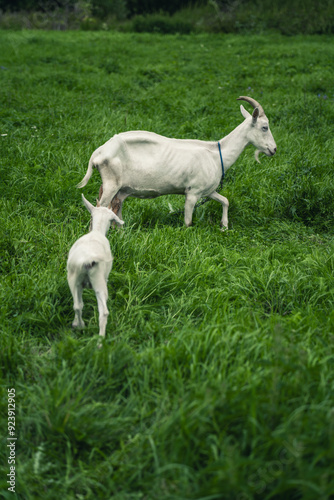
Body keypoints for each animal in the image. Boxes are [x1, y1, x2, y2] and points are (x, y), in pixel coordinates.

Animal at [66, 193, 124, 338]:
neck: (97, 232)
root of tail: (89, 259)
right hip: (93, 280)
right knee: (95, 309)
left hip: (80, 278)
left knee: (81, 306)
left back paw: (83, 328)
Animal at [77, 95, 276, 229]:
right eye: (264, 127)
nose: (273, 150)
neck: (216, 154)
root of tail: (99, 152)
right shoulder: (193, 192)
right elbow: (188, 221)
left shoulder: (207, 190)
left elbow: (225, 201)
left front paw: (224, 226)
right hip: (111, 183)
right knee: (100, 207)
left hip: (120, 188)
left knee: (114, 208)